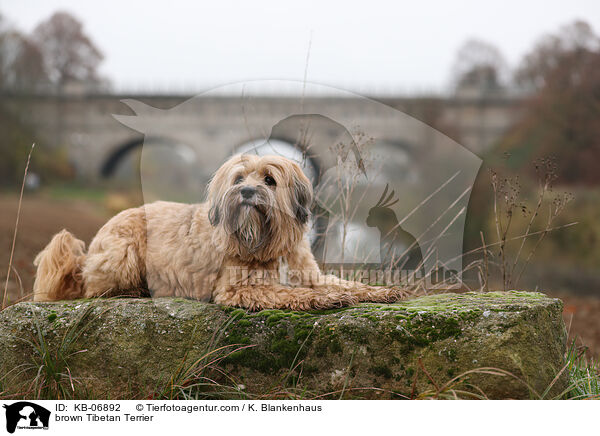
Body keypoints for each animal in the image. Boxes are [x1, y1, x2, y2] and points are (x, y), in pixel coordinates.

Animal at [32, 153, 408, 310]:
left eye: (269, 179)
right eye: (239, 178)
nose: (246, 192)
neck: (270, 242)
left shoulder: (309, 273)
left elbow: (343, 283)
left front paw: (380, 291)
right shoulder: (240, 288)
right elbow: (291, 293)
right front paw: (327, 299)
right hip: (122, 254)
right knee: (94, 291)